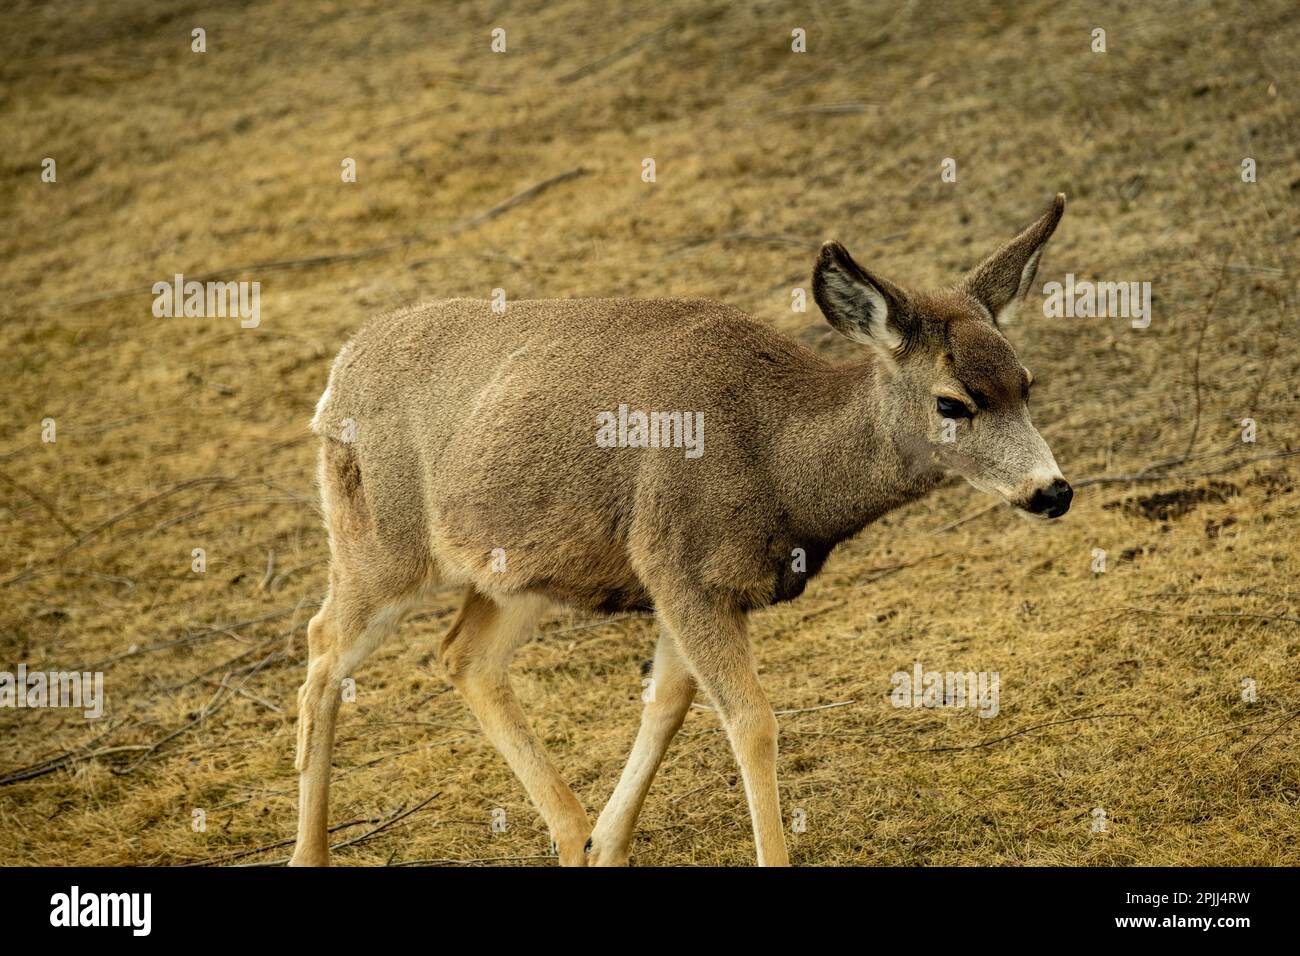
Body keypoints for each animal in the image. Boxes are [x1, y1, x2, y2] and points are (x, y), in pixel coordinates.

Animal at [289, 192, 1071, 868]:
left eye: (1026, 383)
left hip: (515, 569)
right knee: (324, 646)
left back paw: (571, 835)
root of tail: (338, 373)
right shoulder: (682, 563)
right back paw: (311, 852)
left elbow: (668, 700)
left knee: (464, 656)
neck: (779, 465)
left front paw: (607, 844)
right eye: (952, 403)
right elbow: (753, 723)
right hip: (380, 539)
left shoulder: (688, 581)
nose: (1053, 491)